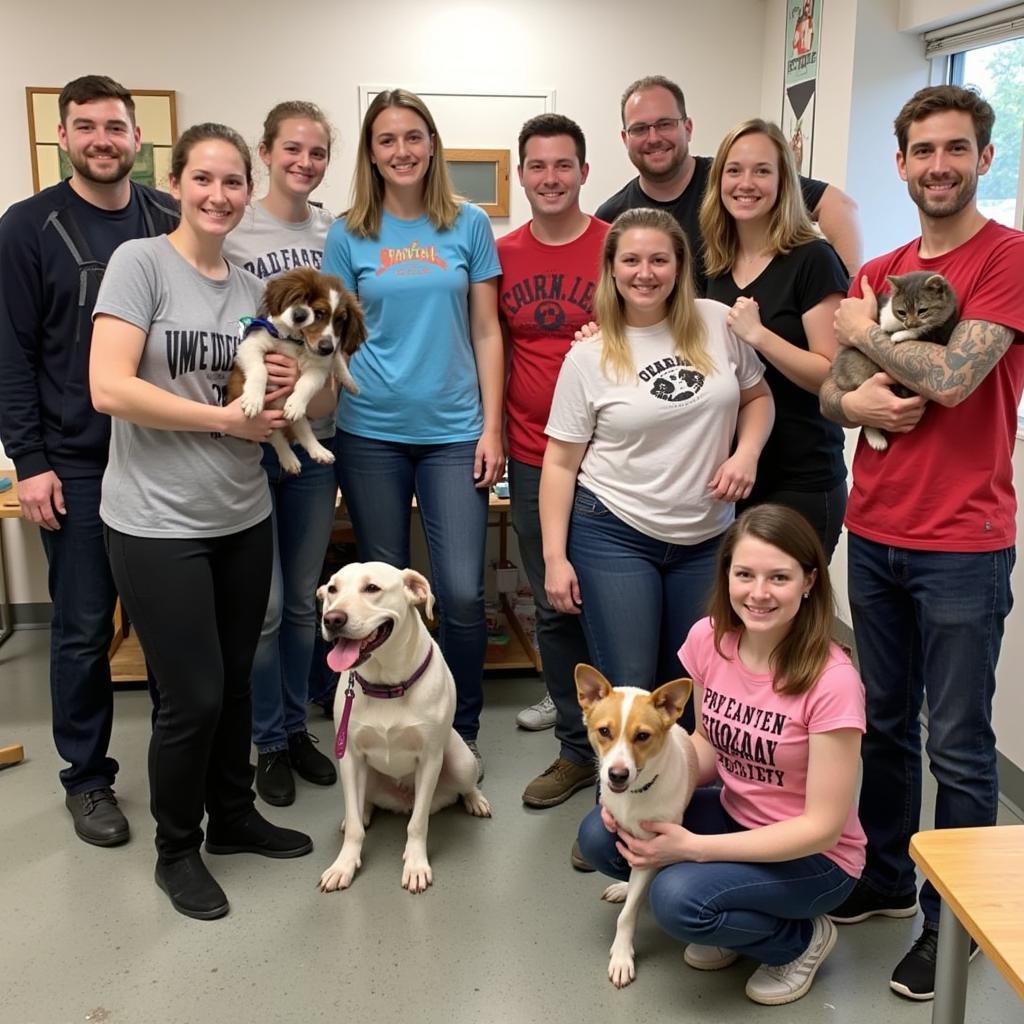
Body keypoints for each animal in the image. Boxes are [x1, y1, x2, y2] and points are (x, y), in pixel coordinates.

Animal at [226, 264, 366, 471]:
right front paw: (253, 400)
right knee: (274, 436)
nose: (326, 348)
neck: (297, 344)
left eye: (340, 320)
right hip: (264, 419)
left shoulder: (318, 368)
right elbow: (260, 370)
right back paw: (289, 458)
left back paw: (318, 451)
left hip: (291, 416)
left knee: (302, 429)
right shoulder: (250, 345)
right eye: (319, 313)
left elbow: (307, 384)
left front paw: (297, 403)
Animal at [581, 667, 700, 987]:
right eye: (604, 731)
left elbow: (627, 915)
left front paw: (622, 956)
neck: (635, 794)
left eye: (643, 736)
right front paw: (627, 890)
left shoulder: (652, 848)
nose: (617, 775)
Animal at [831, 270, 958, 450]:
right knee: (865, 417)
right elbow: (887, 315)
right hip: (859, 368)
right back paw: (876, 438)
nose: (909, 324)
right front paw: (890, 322)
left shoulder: (942, 328)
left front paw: (900, 334)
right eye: (902, 312)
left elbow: (922, 330)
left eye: (922, 310)